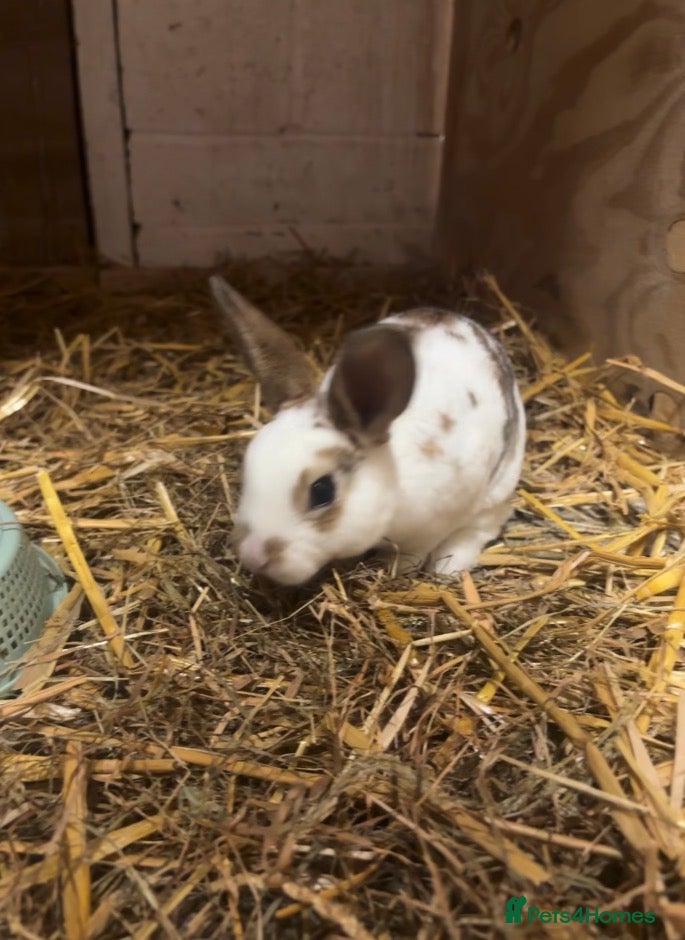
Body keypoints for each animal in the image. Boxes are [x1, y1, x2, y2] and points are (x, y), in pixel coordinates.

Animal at [210, 275, 525, 586]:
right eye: (247, 468)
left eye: (322, 491)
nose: (252, 556)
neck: (393, 477)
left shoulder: (431, 527)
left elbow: (412, 556)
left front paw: (394, 571)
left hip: (498, 486)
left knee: (488, 522)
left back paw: (449, 566)